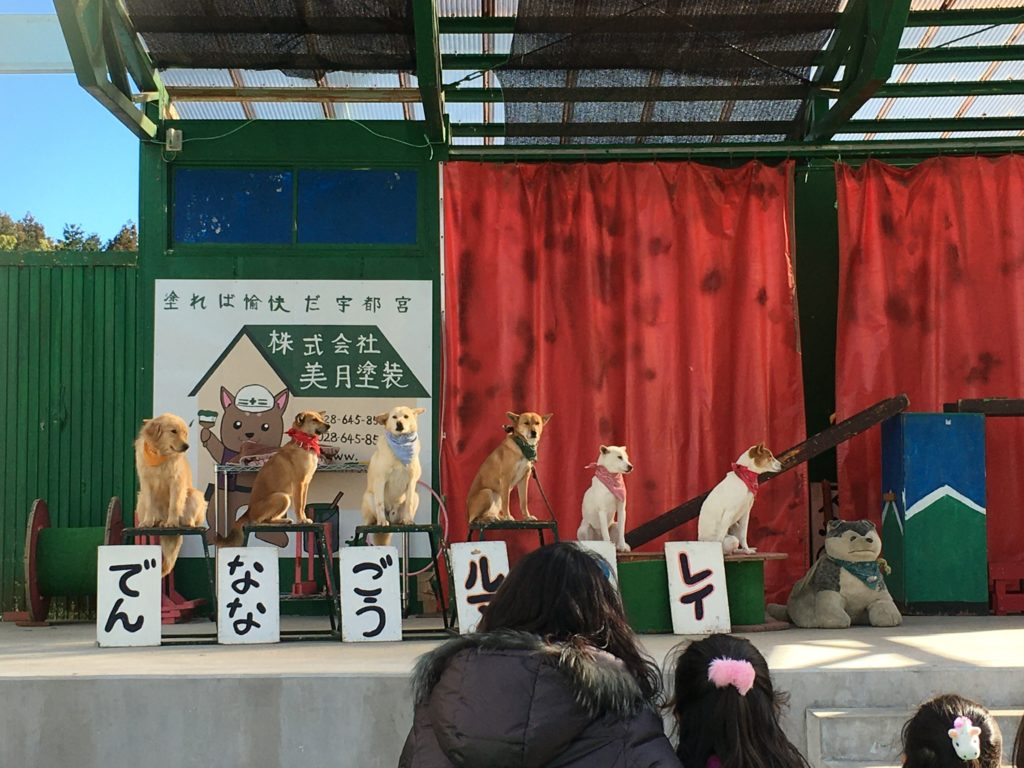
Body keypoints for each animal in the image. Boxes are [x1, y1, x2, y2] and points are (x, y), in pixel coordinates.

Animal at [135, 415, 208, 577]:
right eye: (173, 431)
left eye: (185, 433)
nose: (186, 446)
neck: (160, 454)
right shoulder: (146, 483)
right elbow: (150, 505)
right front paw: (147, 522)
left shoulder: (176, 482)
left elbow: (174, 505)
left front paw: (172, 522)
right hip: (140, 499)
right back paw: (158, 522)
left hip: (195, 495)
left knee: (188, 517)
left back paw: (184, 523)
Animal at [215, 411, 327, 548]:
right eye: (314, 420)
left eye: (321, 418)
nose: (328, 426)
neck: (304, 443)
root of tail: (248, 511)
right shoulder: (299, 484)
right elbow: (299, 505)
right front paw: (302, 520)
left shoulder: (305, 484)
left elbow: (303, 504)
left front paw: (303, 518)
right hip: (282, 497)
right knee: (260, 521)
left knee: (269, 519)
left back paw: (284, 520)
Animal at [360, 409, 423, 548]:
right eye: (394, 417)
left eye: (406, 416)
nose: (399, 423)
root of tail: (392, 518)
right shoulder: (380, 480)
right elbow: (380, 504)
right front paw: (382, 521)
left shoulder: (411, 482)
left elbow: (409, 503)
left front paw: (409, 520)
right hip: (368, 496)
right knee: (369, 519)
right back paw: (376, 521)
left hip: (416, 496)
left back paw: (402, 520)